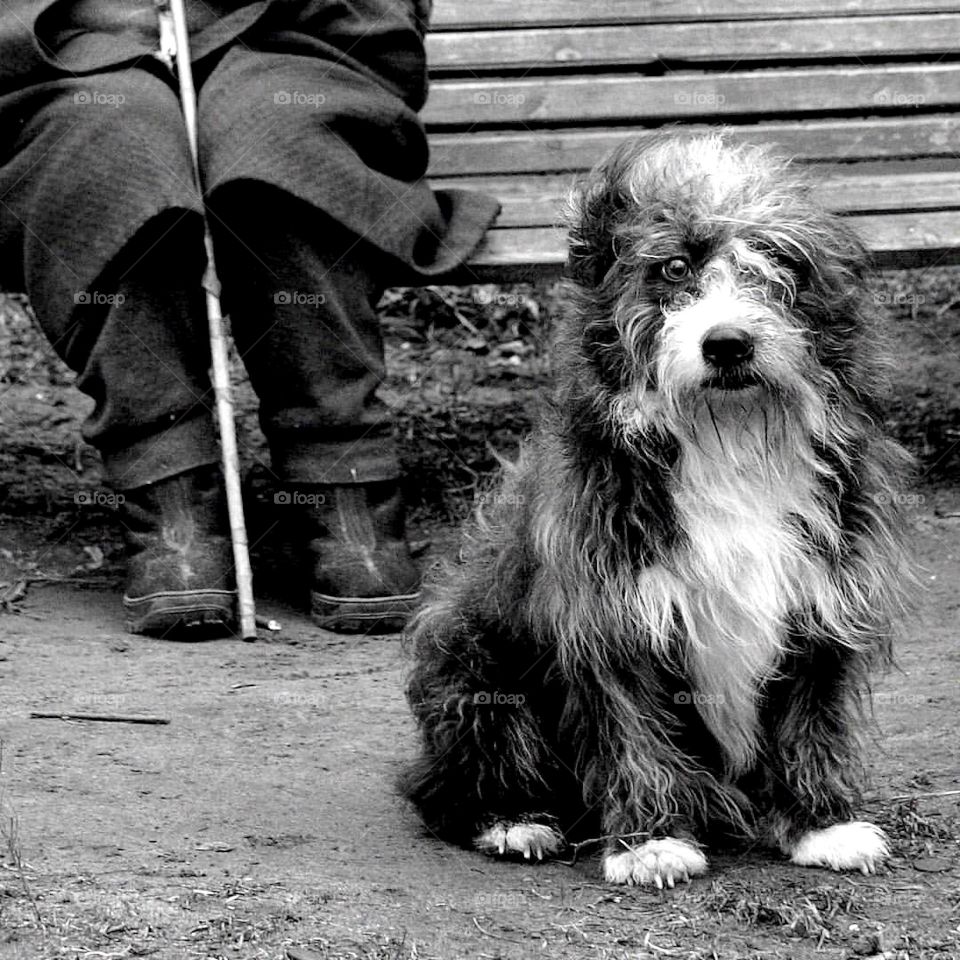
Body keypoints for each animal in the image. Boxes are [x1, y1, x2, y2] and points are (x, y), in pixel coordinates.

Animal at [402, 133, 912, 884]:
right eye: (673, 267)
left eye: (777, 262)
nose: (727, 343)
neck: (727, 441)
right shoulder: (611, 611)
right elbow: (632, 729)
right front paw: (650, 842)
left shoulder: (821, 597)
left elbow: (809, 718)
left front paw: (822, 824)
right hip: (466, 657)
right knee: (446, 782)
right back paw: (513, 820)